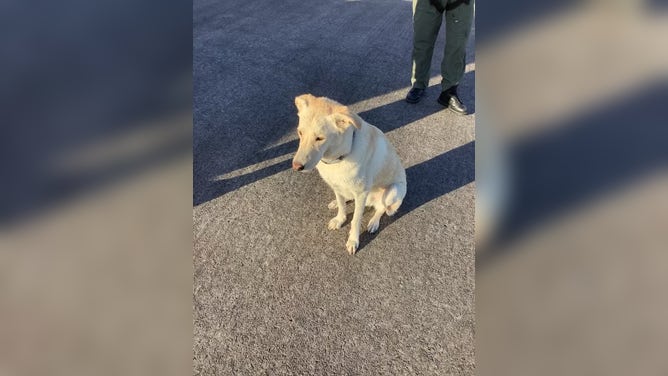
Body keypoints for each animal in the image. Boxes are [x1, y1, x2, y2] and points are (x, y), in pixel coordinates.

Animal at [292, 93, 408, 256]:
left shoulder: (361, 194)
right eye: (300, 132)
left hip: (394, 190)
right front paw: (339, 219)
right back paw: (336, 202)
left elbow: (355, 220)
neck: (338, 158)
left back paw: (373, 222)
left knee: (382, 208)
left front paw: (353, 240)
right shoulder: (336, 184)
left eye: (320, 138)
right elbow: (342, 206)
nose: (296, 167)